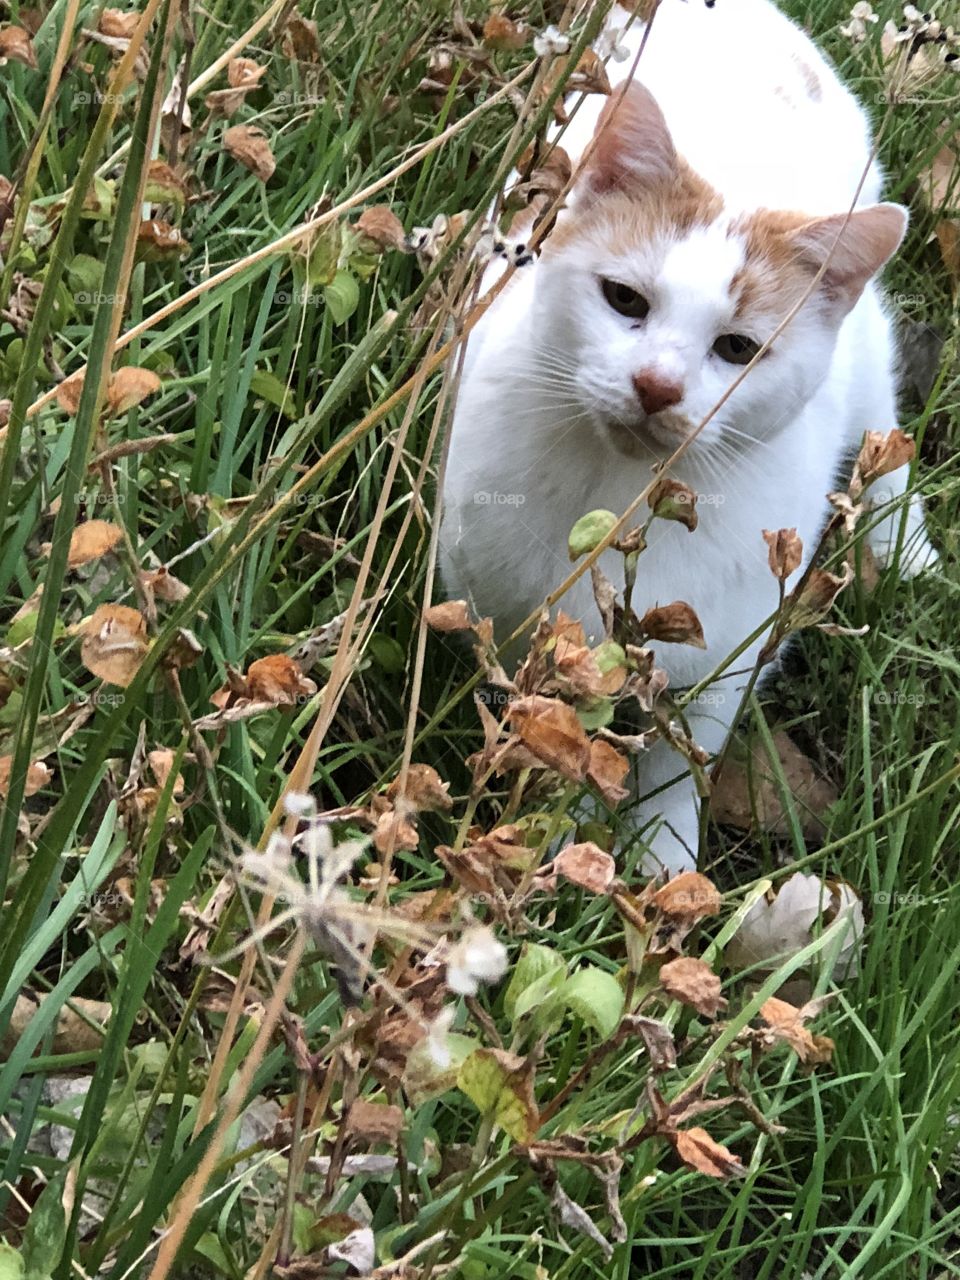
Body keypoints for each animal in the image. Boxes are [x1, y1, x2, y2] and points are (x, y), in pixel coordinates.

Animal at [442, 0, 942, 875]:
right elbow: (556, 733)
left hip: (867, 342)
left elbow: (680, 759)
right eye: (623, 300)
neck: (618, 497)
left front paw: (661, 858)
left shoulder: (723, 657)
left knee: (881, 418)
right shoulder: (498, 614)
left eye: (738, 349)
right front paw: (566, 838)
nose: (656, 387)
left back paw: (907, 543)